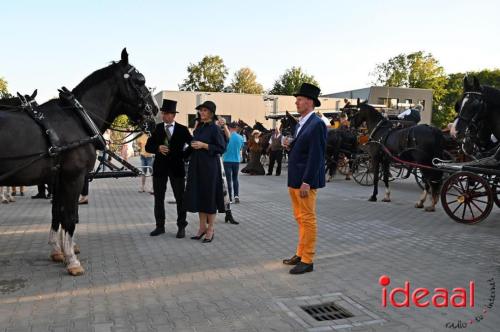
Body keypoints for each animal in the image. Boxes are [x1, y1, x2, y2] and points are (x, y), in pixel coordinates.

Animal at [0, 48, 158, 274]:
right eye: (140, 80)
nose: (155, 110)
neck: (78, 119)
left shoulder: (58, 179)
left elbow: (58, 212)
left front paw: (58, 249)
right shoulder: (73, 177)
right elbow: (69, 216)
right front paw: (71, 259)